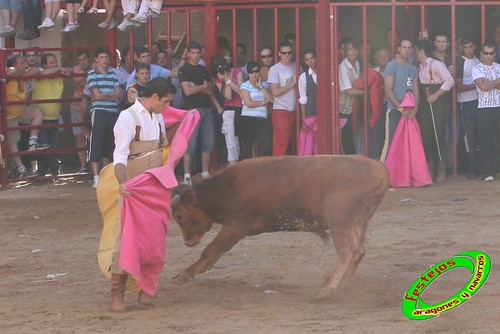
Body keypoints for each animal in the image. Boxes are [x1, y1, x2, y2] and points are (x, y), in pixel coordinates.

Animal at [170, 156, 388, 300]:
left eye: (179, 215)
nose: (188, 242)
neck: (226, 188)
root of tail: (378, 169)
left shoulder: (236, 227)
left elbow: (211, 250)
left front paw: (183, 276)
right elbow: (214, 254)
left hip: (339, 221)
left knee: (347, 252)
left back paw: (328, 290)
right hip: (356, 221)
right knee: (358, 251)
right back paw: (341, 286)